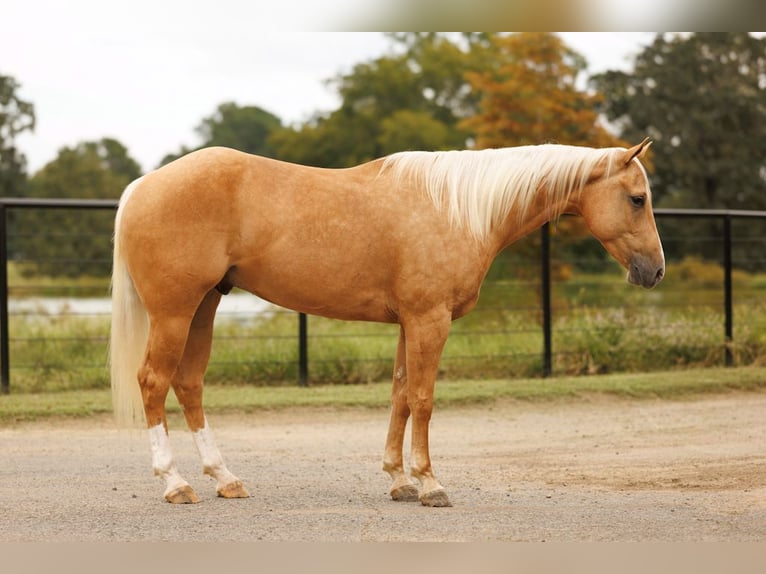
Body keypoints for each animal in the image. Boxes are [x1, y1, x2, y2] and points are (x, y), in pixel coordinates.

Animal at [110, 139, 664, 507]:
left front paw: (399, 481)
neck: (457, 209)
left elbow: (399, 393)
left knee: (189, 383)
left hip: (203, 307)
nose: (655, 271)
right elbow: (423, 399)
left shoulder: (408, 323)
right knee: (154, 382)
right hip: (175, 312)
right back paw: (176, 483)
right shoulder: (429, 320)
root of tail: (142, 185)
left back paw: (224, 478)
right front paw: (430, 483)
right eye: (637, 198)